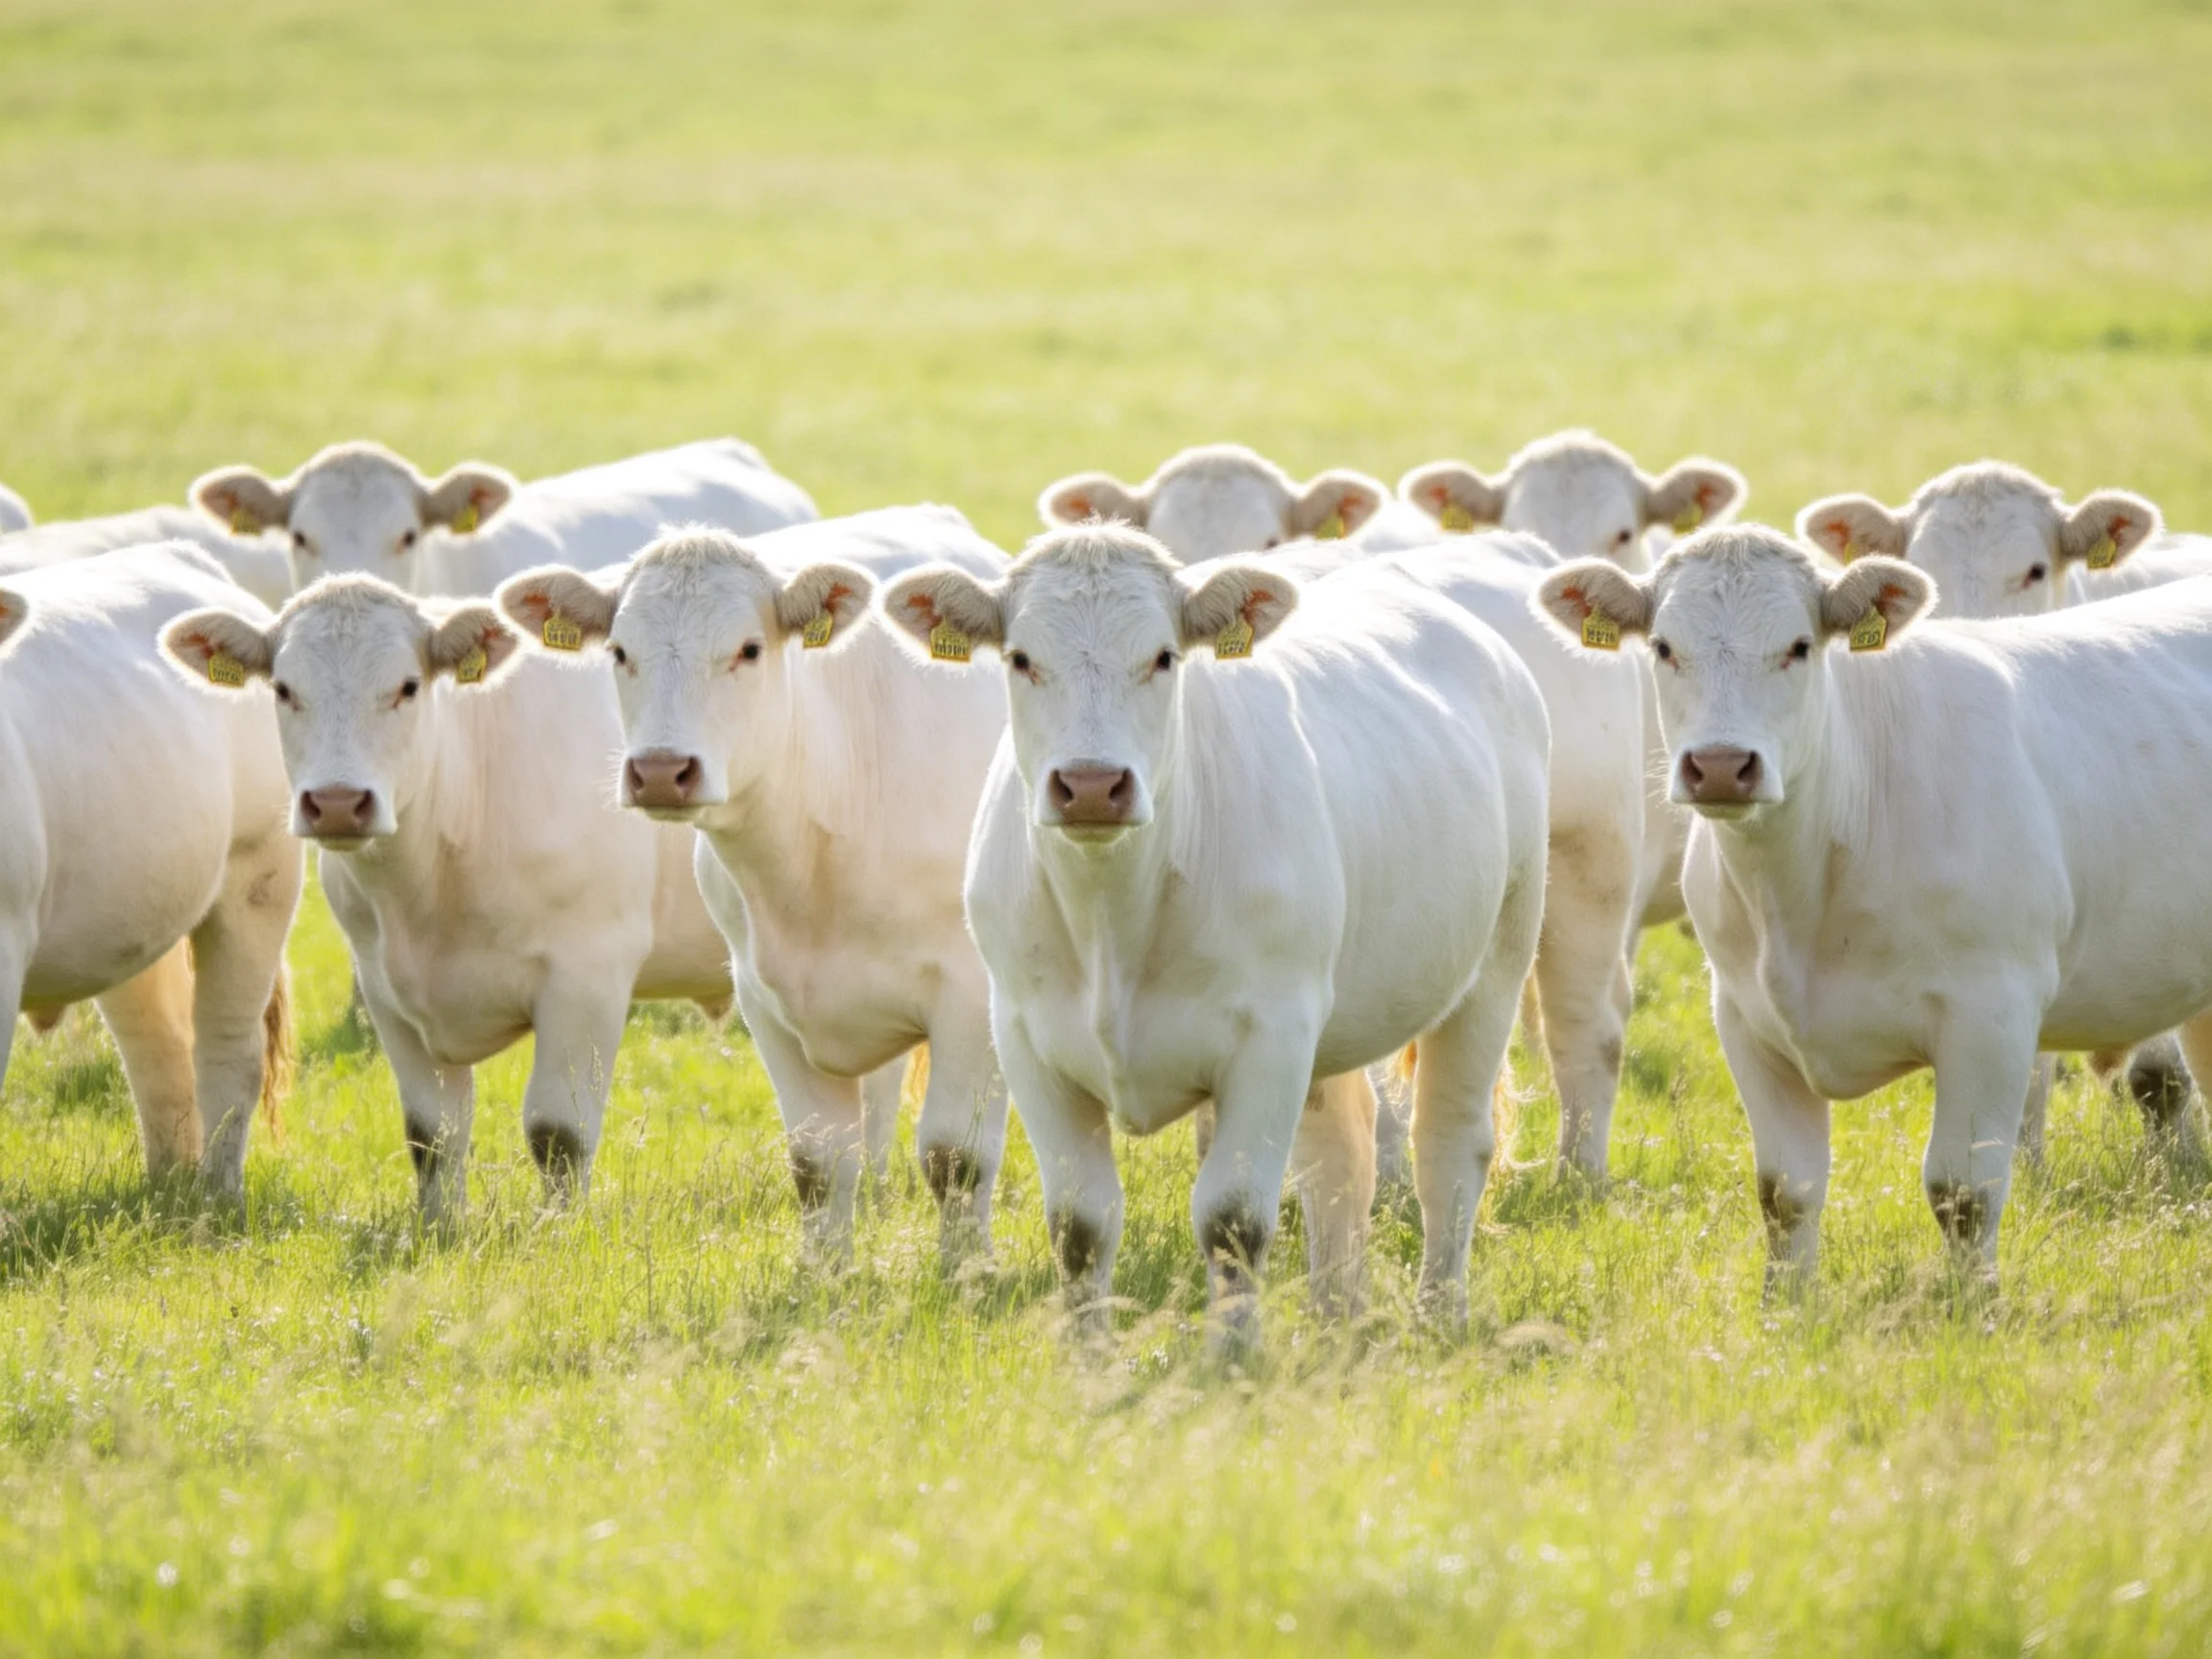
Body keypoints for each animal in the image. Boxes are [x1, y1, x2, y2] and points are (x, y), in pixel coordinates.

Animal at [159, 573, 733, 1228]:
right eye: (283, 689)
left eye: (408, 686)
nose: (336, 803)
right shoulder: (384, 990)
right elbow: (431, 1133)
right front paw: (441, 1224)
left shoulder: (588, 973)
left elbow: (558, 1132)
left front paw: (560, 1228)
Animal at [491, 507, 1014, 1262]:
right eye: (619, 651)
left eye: (748, 649)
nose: (660, 770)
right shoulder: (766, 1001)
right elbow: (818, 1165)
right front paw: (826, 1274)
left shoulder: (973, 997)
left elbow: (956, 1158)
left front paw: (966, 1271)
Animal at [880, 523, 1551, 1340]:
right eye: (1020, 658)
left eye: (1164, 656)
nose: (1093, 785)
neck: (1113, 919)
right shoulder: (1026, 1038)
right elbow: (1079, 1226)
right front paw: (1089, 1354)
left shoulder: (1270, 1037)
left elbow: (1234, 1221)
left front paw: (1233, 1352)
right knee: (1341, 1155)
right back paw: (1334, 1316)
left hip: (1495, 966)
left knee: (1449, 1144)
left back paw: (1437, 1312)